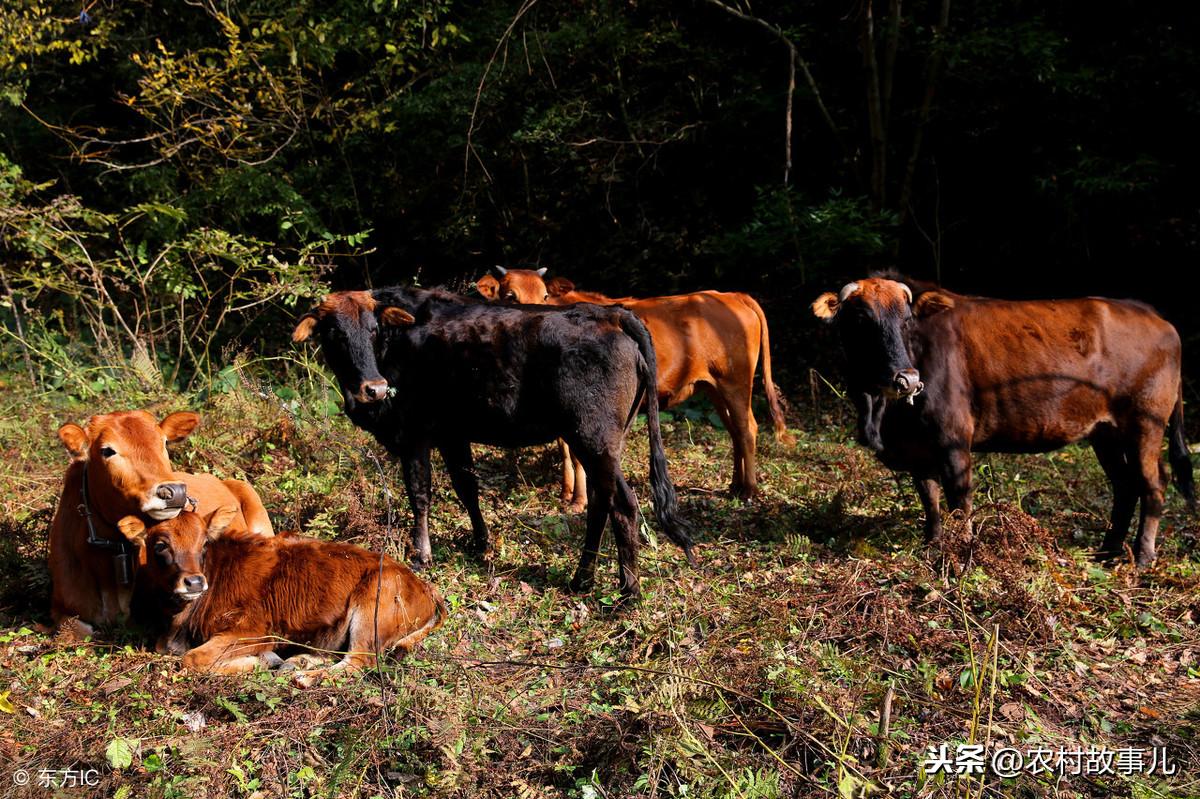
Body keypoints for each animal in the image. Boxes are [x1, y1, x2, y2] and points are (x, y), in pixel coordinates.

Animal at [118, 503, 446, 676]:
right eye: (160, 544)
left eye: (204, 543)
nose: (195, 582)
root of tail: (425, 587)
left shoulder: (254, 631)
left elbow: (193, 659)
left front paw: (257, 661)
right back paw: (297, 661)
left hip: (371, 611)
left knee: (357, 662)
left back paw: (303, 676)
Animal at [811, 277, 1195, 563]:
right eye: (860, 321)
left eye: (906, 320)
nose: (907, 380)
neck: (882, 415)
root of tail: (1151, 313)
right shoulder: (917, 448)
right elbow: (930, 501)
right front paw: (932, 545)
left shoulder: (953, 439)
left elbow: (959, 500)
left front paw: (961, 552)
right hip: (1106, 433)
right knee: (1125, 485)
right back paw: (1107, 550)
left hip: (1146, 423)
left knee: (1153, 484)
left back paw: (1142, 556)